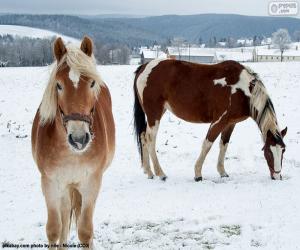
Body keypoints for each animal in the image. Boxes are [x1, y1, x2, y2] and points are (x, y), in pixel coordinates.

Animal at [31, 35, 114, 248]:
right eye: (59, 85)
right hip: (65, 186)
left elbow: (85, 232)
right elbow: (54, 230)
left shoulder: (91, 183)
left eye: (92, 83)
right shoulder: (50, 183)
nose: (78, 139)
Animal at [134, 59, 286, 183]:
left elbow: (224, 145)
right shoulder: (219, 121)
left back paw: (149, 172)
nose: (277, 176)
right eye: (268, 152)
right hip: (154, 114)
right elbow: (207, 144)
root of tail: (144, 67)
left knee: (142, 136)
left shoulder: (230, 123)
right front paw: (198, 174)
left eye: (283, 150)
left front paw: (222, 172)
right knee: (150, 139)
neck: (242, 90)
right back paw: (161, 174)